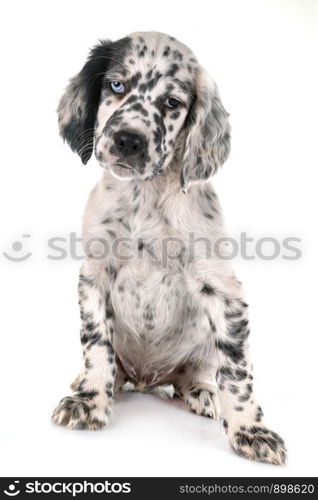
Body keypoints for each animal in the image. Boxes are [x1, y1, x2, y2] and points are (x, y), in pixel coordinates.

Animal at [52, 32, 286, 464]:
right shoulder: (93, 276)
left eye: (172, 103)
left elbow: (237, 371)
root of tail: (147, 380)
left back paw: (204, 393)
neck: (147, 196)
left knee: (197, 374)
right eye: (116, 85)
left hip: (202, 346)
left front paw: (251, 431)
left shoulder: (224, 292)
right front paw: (89, 401)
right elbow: (96, 344)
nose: (128, 140)